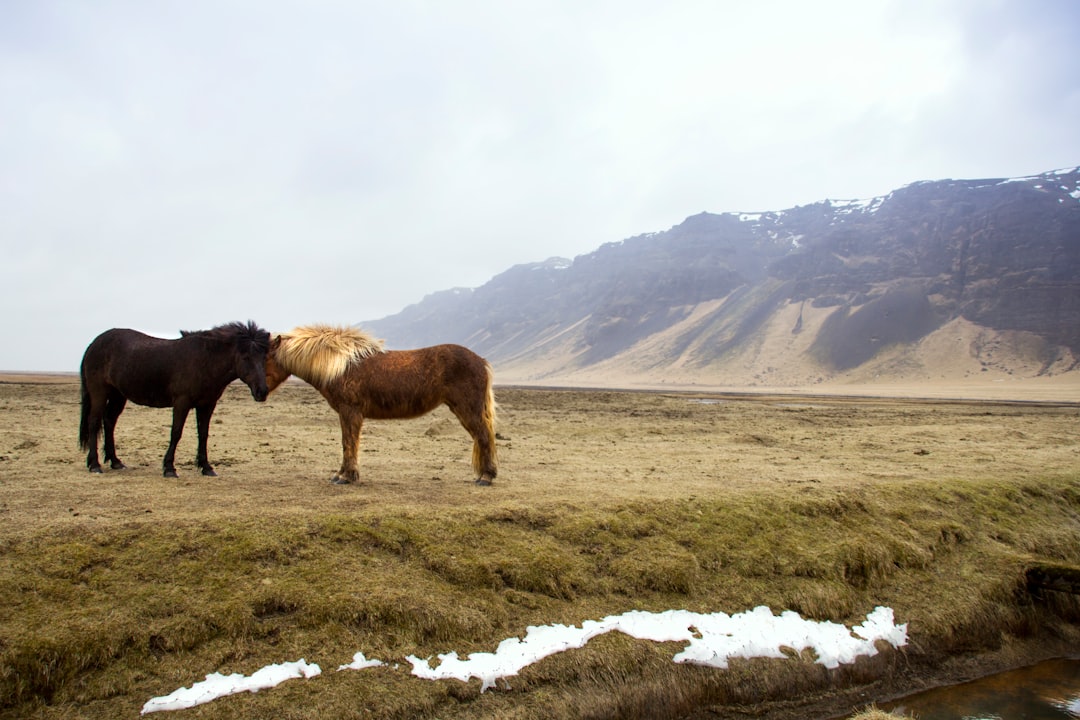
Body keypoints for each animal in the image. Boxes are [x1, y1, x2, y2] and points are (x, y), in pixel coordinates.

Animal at [78, 321, 272, 479]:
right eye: (246, 357)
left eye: (264, 357)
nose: (262, 391)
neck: (205, 361)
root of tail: (94, 344)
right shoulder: (182, 403)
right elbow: (176, 433)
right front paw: (169, 468)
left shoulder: (207, 405)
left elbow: (203, 434)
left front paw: (206, 467)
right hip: (99, 392)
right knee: (94, 422)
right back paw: (94, 464)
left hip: (118, 395)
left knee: (109, 421)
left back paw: (115, 461)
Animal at [263, 325, 498, 483]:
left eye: (266, 358)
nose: (260, 393)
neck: (342, 366)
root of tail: (481, 361)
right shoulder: (346, 414)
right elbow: (346, 443)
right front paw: (341, 474)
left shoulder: (350, 412)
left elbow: (349, 442)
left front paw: (347, 477)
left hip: (468, 409)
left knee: (483, 436)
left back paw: (486, 477)